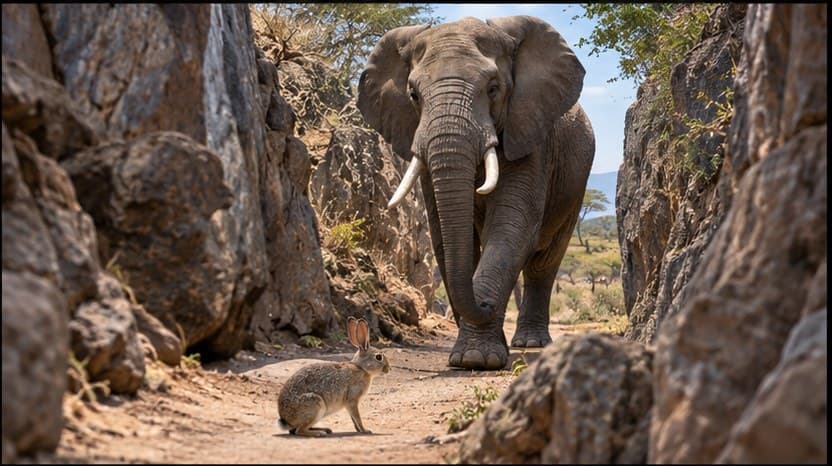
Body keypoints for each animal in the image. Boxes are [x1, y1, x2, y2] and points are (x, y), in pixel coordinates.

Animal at [357, 16, 595, 370]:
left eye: (493, 89)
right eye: (413, 94)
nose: (485, 304)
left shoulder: (531, 135)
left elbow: (511, 226)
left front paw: (477, 358)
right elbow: (446, 235)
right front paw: (468, 355)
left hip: (574, 186)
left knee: (544, 262)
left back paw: (531, 343)